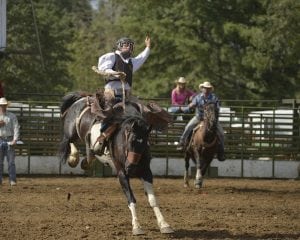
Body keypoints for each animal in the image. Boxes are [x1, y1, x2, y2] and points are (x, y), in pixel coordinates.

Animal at [58, 93, 173, 235]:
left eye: (145, 144)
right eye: (131, 141)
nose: (131, 168)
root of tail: (82, 98)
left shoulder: (146, 172)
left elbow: (152, 200)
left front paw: (164, 224)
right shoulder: (121, 173)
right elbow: (131, 199)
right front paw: (136, 226)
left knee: (86, 150)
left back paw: (85, 161)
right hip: (70, 131)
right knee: (69, 140)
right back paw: (73, 158)